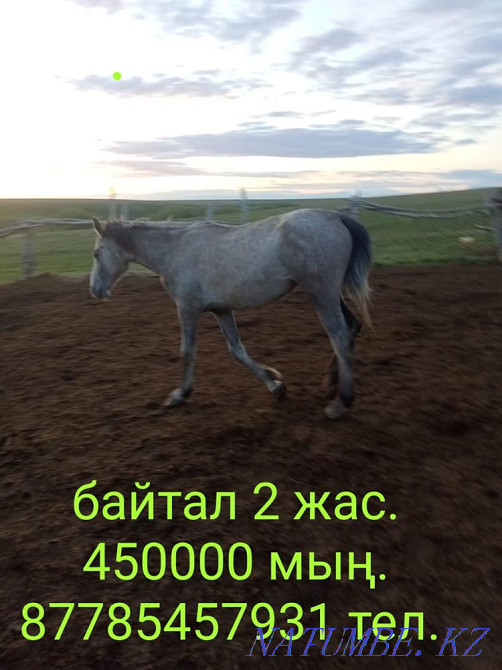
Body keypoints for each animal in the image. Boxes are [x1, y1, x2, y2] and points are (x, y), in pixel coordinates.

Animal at [89, 209, 372, 419]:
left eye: (96, 253)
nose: (95, 289)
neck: (175, 250)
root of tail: (335, 217)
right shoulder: (221, 310)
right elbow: (237, 351)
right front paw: (275, 384)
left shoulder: (188, 308)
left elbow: (187, 352)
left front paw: (180, 395)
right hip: (331, 294)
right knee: (352, 327)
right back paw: (329, 385)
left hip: (321, 293)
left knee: (339, 336)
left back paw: (340, 402)